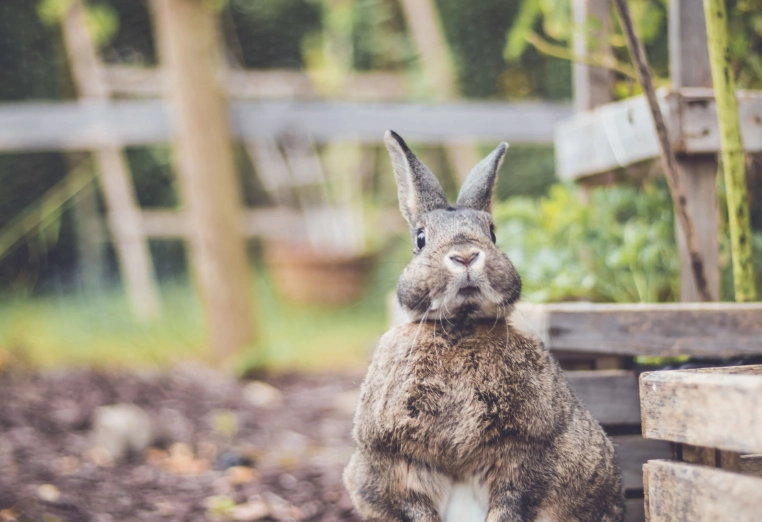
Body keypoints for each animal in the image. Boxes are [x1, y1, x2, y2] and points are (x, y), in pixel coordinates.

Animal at [343, 131, 625, 522]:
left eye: (492, 233)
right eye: (420, 239)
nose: (465, 256)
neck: (460, 326)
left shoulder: (522, 454)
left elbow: (510, 504)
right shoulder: (399, 464)